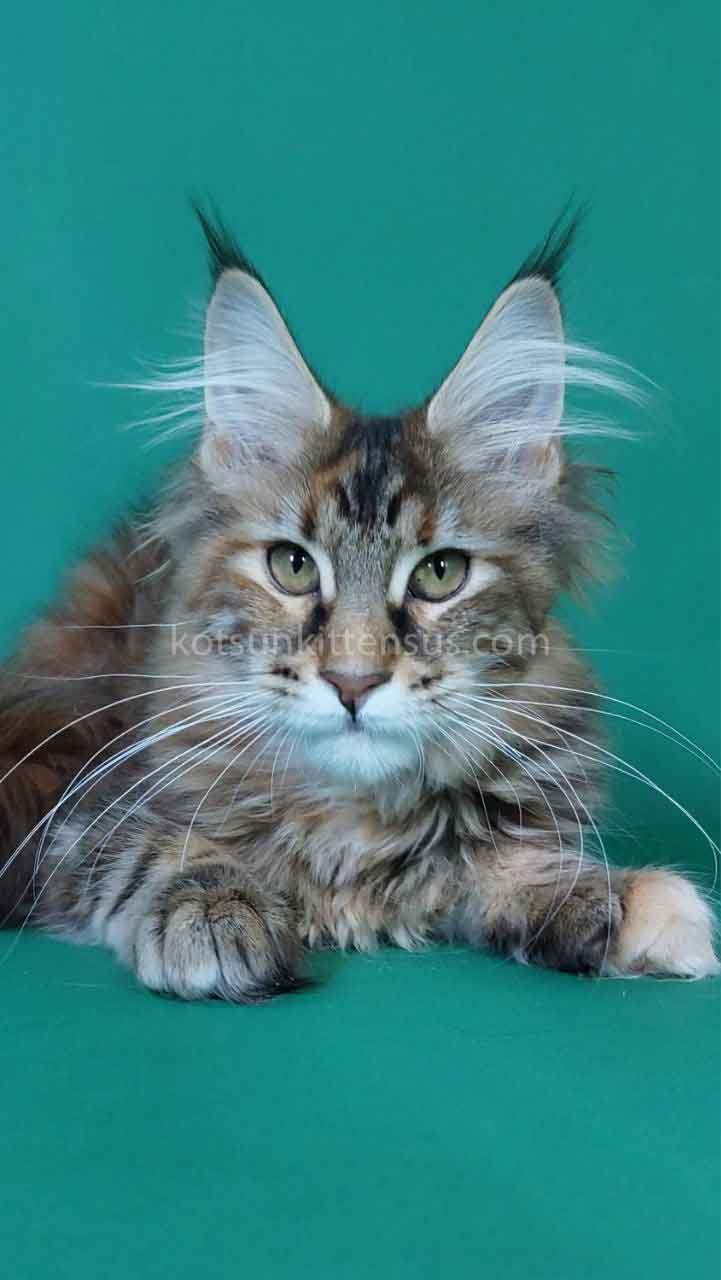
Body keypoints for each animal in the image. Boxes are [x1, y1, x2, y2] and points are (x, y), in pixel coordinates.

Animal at [0, 209, 717, 1000]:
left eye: (440, 574)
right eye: (291, 567)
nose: (353, 682)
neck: (356, 827)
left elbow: (512, 862)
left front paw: (625, 901)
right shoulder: (70, 796)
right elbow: (147, 842)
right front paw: (213, 909)